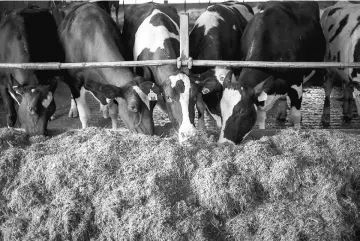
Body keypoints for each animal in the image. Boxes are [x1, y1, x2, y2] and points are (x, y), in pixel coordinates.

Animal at [0, 5, 64, 137]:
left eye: (52, 109)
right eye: (31, 109)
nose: (41, 134)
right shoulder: (2, 82)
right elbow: (10, 107)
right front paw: (10, 127)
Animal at [57, 2, 159, 134]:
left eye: (154, 103)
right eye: (133, 107)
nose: (150, 134)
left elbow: (114, 112)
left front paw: (114, 129)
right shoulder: (75, 82)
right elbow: (84, 115)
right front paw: (85, 129)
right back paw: (73, 110)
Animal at [197, 1, 326, 145]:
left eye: (242, 111)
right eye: (222, 109)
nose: (224, 143)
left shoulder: (296, 83)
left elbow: (296, 115)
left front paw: (298, 133)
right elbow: (261, 117)